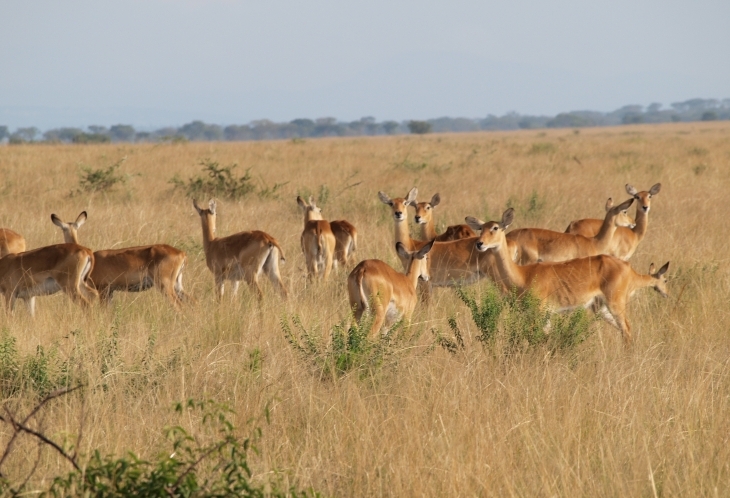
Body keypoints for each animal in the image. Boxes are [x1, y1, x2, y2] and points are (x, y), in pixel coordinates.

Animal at [470, 207, 668, 346]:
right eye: (481, 228)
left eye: (495, 227)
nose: (480, 243)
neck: (523, 275)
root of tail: (628, 268)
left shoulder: (540, 313)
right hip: (601, 308)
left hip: (615, 303)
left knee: (627, 328)